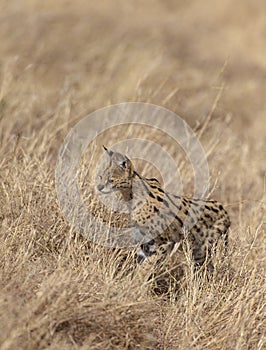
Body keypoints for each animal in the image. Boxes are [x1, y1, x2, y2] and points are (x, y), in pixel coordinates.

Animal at [96, 145, 230, 270]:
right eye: (100, 177)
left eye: (110, 180)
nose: (99, 187)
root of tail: (225, 212)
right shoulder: (146, 242)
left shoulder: (165, 242)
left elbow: (148, 265)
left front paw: (138, 278)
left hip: (201, 250)